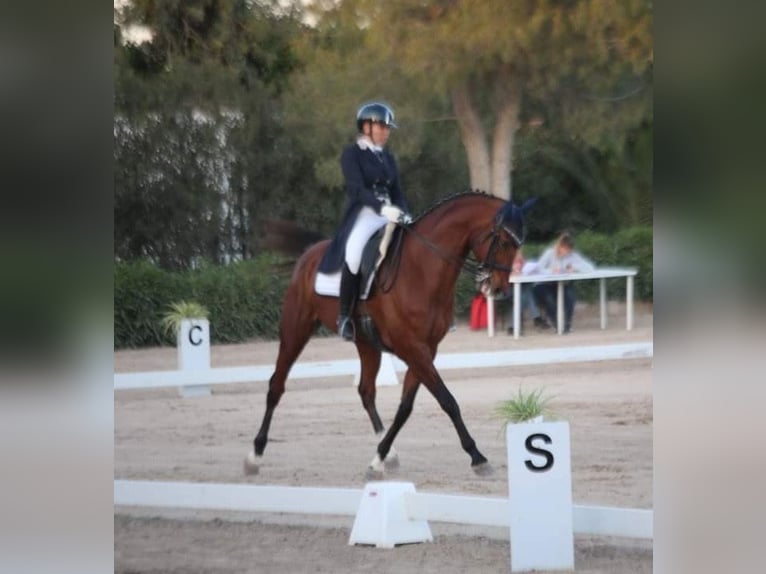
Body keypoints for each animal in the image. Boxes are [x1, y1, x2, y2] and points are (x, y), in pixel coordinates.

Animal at [245, 190, 535, 478]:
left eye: (519, 243)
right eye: (505, 241)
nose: (499, 290)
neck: (422, 269)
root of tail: (312, 252)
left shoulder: (426, 349)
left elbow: (405, 407)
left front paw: (379, 457)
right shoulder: (412, 348)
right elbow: (447, 400)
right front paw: (477, 457)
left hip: (366, 343)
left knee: (366, 391)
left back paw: (390, 453)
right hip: (295, 329)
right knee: (276, 386)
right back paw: (255, 455)